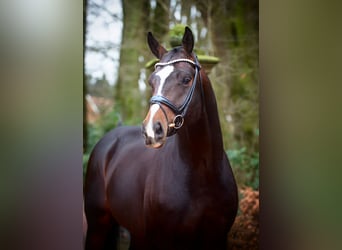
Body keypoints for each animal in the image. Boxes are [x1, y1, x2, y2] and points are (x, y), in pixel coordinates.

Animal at [84, 26, 236, 249]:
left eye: (186, 79)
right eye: (151, 81)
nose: (151, 130)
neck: (204, 172)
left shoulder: (217, 238)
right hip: (97, 226)